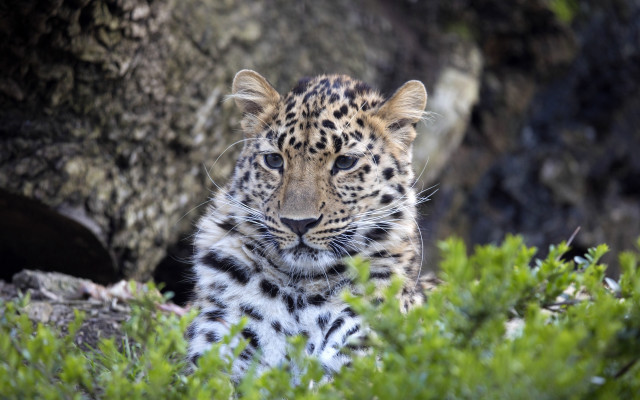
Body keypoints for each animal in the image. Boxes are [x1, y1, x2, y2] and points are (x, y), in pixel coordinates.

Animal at [186, 69, 429, 381]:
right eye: (274, 160)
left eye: (345, 162)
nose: (298, 223)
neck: (302, 289)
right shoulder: (218, 345)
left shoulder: (361, 355)